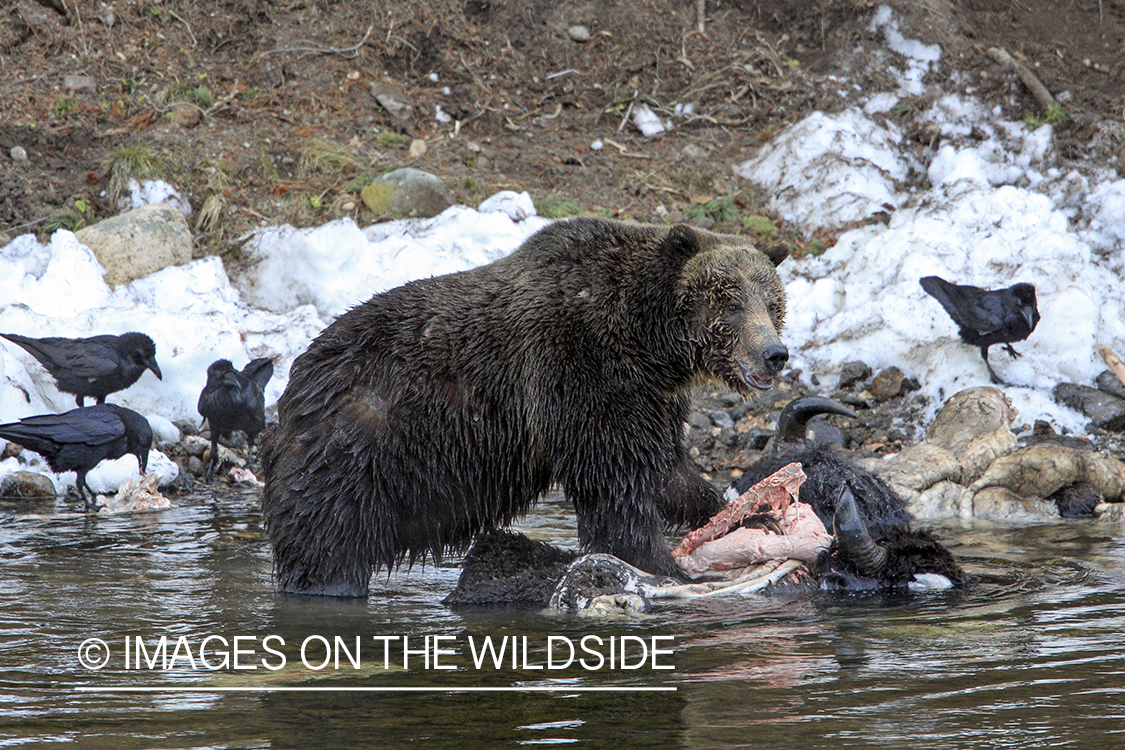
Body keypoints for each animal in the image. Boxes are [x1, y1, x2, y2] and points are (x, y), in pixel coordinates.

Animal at [261, 217, 792, 598]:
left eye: (772, 302)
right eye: (729, 302)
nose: (775, 353)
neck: (650, 343)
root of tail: (294, 383)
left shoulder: (649, 397)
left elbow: (667, 472)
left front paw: (751, 514)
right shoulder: (581, 369)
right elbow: (615, 487)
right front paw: (666, 567)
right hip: (355, 451)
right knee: (327, 544)